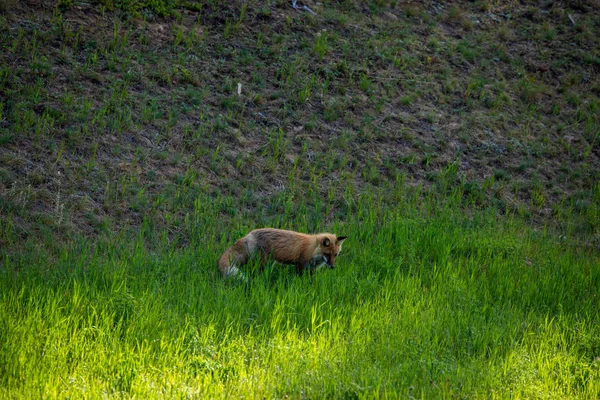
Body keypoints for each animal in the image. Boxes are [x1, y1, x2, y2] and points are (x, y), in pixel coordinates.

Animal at [218, 228, 346, 278]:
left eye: (335, 255)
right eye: (328, 254)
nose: (332, 267)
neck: (313, 250)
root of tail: (249, 234)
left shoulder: (311, 269)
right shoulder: (300, 264)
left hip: (268, 263)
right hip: (262, 263)